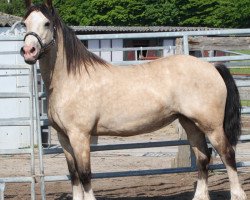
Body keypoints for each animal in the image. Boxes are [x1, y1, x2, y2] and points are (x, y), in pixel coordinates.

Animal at [21, 0, 246, 200]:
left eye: (47, 23)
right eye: (25, 23)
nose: (28, 51)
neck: (71, 80)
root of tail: (212, 67)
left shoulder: (80, 136)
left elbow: (85, 175)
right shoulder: (64, 138)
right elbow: (74, 175)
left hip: (212, 126)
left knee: (227, 154)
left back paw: (238, 195)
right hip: (190, 124)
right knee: (203, 158)